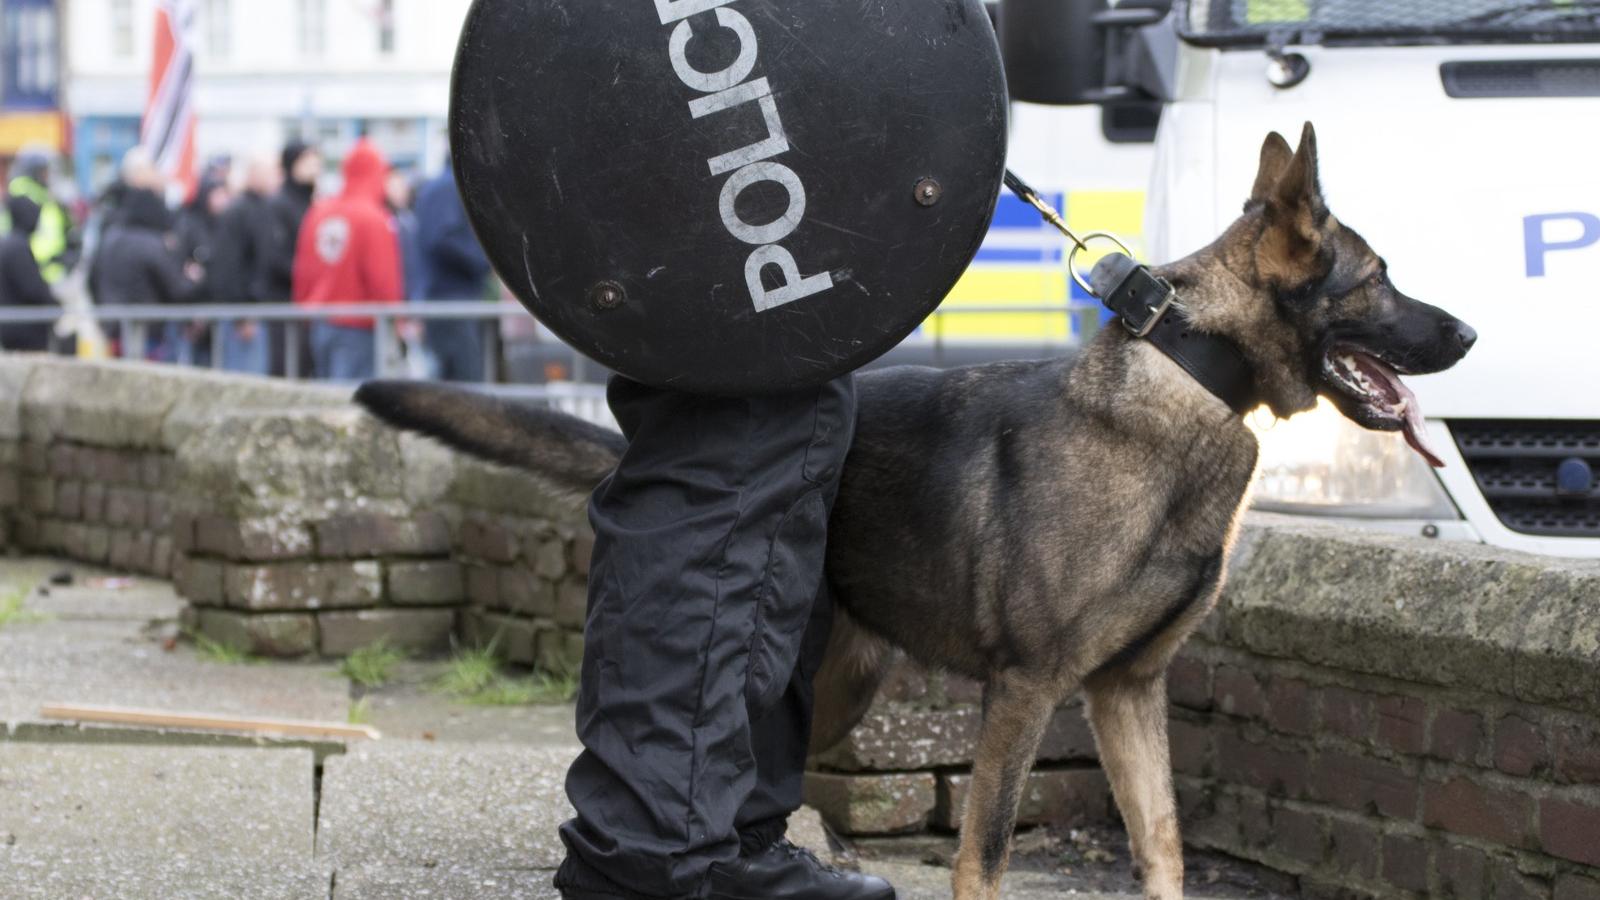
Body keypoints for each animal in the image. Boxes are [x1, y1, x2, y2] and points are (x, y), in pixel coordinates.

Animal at [360, 126, 1472, 896]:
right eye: (1380, 279)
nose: (1466, 331)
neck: (1190, 378)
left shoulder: (1126, 691)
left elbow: (1161, 846)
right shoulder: (1026, 691)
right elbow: (984, 855)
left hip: (841, 686)